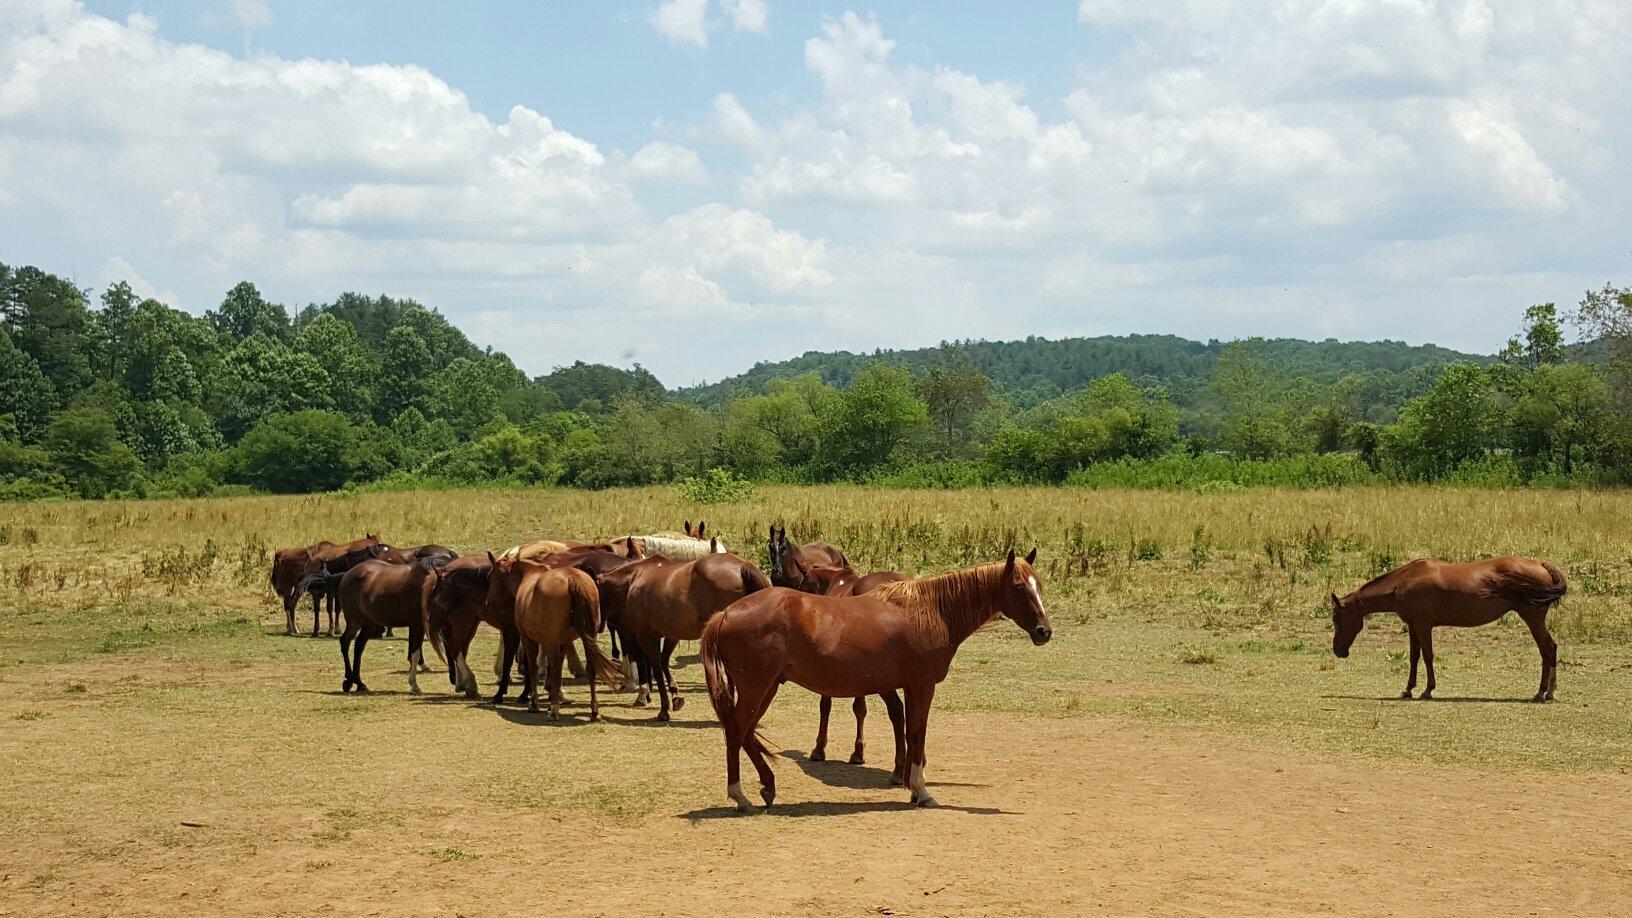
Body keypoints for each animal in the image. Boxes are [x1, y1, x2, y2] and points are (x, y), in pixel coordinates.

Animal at [336, 548, 453, 692]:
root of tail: (347, 575)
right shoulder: (417, 625)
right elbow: (415, 653)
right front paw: (414, 685)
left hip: (370, 623)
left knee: (359, 646)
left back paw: (359, 683)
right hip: (355, 621)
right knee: (345, 642)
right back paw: (349, 680)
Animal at [483, 555, 623, 718]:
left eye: (490, 576)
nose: (489, 602)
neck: (529, 575)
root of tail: (572, 578)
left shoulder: (529, 638)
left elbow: (534, 667)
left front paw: (534, 702)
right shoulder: (562, 642)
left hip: (550, 642)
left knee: (555, 668)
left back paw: (554, 709)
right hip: (588, 638)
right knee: (590, 668)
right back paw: (593, 710)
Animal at [597, 545, 773, 718]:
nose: (599, 625)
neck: (635, 579)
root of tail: (741, 565)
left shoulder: (644, 637)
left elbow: (655, 668)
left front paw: (663, 708)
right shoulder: (670, 635)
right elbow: (663, 662)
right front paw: (675, 696)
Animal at [698, 542, 1044, 806]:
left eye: (1039, 586)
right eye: (1018, 587)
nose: (1045, 631)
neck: (929, 611)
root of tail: (725, 613)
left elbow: (908, 730)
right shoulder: (921, 685)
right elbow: (916, 732)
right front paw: (920, 790)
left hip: (766, 687)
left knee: (745, 732)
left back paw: (768, 786)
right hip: (756, 687)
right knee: (737, 730)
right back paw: (740, 795)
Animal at [1338, 548, 1566, 699]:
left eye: (1337, 618)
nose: (1338, 651)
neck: (1404, 581)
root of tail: (1542, 565)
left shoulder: (1423, 625)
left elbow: (1428, 656)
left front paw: (1427, 690)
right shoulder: (1413, 625)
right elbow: (1414, 657)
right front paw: (1408, 689)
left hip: (1533, 618)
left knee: (1546, 650)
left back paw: (1541, 692)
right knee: (1552, 647)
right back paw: (1550, 692)